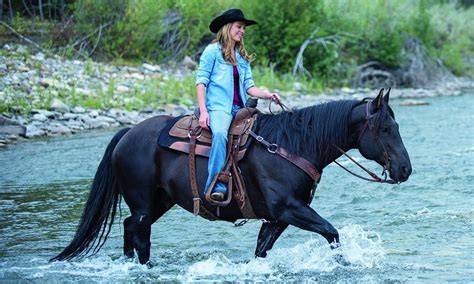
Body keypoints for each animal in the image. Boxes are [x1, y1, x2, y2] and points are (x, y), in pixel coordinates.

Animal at [51, 87, 412, 266]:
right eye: (384, 128)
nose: (405, 169)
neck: (294, 144)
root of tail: (127, 134)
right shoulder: (289, 209)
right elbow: (332, 233)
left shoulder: (276, 218)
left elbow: (262, 250)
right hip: (142, 202)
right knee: (140, 235)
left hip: (158, 202)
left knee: (130, 229)